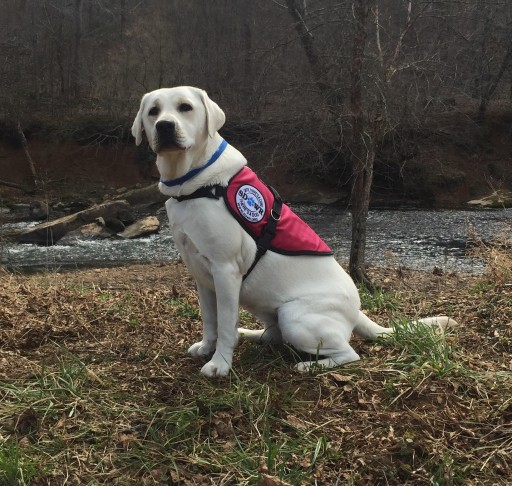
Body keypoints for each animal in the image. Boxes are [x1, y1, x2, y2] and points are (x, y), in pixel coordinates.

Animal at [132, 86, 456, 376]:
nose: (164, 126)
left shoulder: (224, 270)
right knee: (271, 335)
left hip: (294, 317)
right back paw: (250, 334)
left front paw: (220, 364)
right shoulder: (201, 274)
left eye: (185, 107)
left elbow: (223, 323)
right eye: (153, 112)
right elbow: (211, 320)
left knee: (349, 353)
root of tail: (357, 312)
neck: (193, 183)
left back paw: (309, 366)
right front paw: (206, 348)